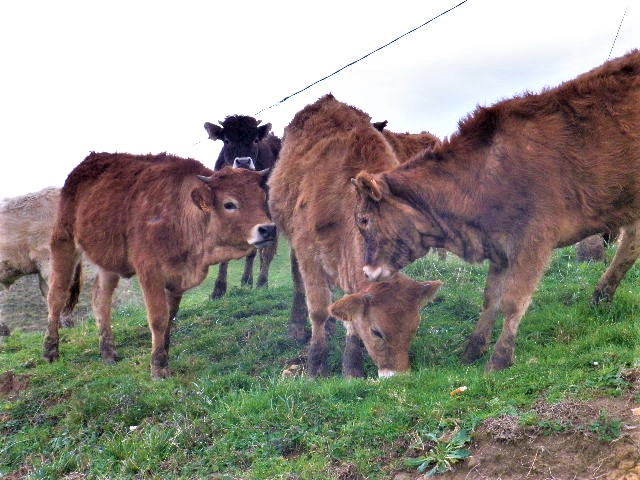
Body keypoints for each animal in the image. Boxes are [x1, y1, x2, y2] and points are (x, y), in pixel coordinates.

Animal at [43, 152, 276, 376]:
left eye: (262, 198)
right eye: (229, 204)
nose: (268, 229)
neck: (180, 213)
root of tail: (85, 163)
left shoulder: (177, 277)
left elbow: (170, 316)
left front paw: (163, 351)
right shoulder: (150, 271)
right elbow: (158, 318)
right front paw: (158, 367)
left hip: (108, 263)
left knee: (100, 300)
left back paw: (108, 353)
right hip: (63, 242)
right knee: (56, 296)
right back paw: (50, 351)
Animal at [202, 115, 278, 298]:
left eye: (255, 139)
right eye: (227, 140)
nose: (243, 161)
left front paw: (262, 283)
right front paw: (218, 289)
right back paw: (246, 281)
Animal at [268, 94, 440, 378]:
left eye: (414, 328)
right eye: (377, 332)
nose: (397, 376)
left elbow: (349, 311)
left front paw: (352, 367)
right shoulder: (308, 252)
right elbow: (318, 309)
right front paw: (315, 365)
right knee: (299, 284)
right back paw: (298, 326)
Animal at [356, 49, 640, 372]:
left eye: (363, 219)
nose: (366, 271)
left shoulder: (533, 240)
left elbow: (513, 300)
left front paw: (500, 358)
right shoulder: (499, 247)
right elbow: (490, 298)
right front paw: (472, 350)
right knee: (631, 245)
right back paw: (600, 297)